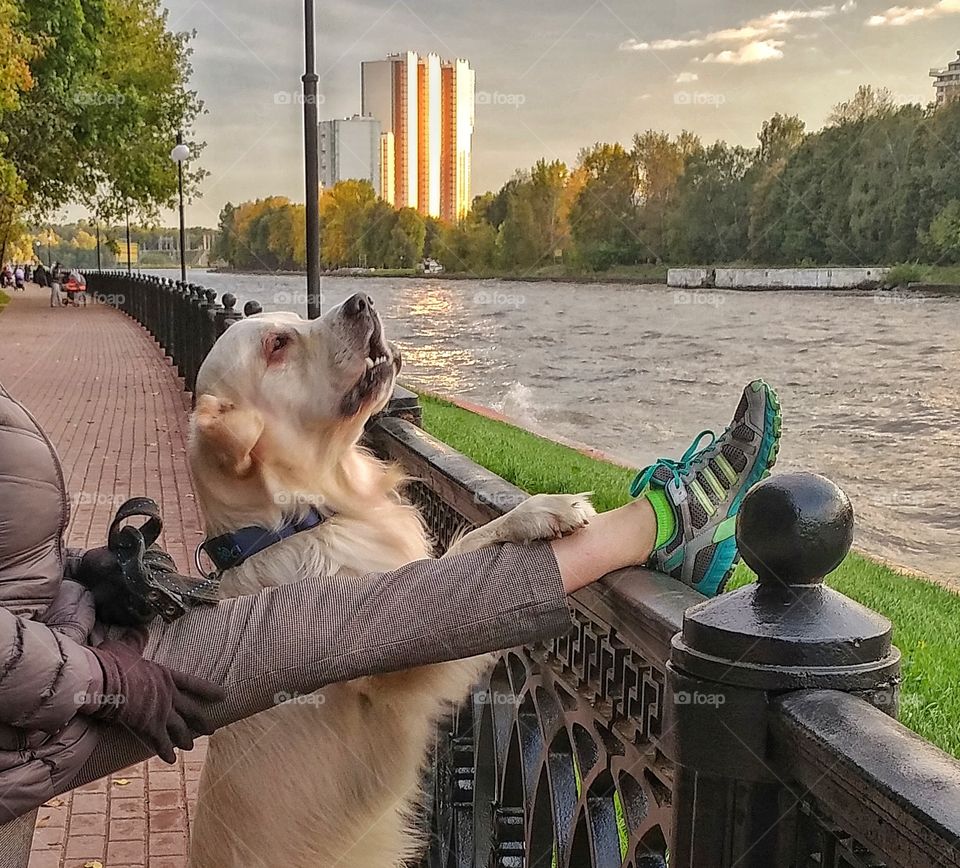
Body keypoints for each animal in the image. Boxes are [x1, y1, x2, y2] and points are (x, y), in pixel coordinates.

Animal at [187, 294, 592, 868]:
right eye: (277, 345)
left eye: (296, 320)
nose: (362, 302)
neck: (299, 522)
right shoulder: (398, 658)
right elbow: (465, 551)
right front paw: (541, 512)